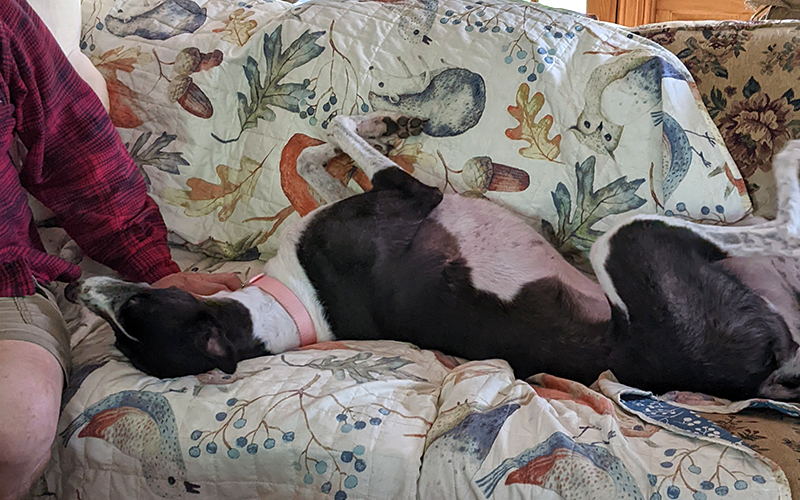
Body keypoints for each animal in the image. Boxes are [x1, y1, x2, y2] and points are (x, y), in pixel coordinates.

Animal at [65, 113, 800, 402]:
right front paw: (385, 124)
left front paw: (376, 125)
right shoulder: (414, 195)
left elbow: (316, 155)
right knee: (781, 228)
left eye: (133, 307)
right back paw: (788, 165)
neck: (291, 308)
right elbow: (341, 135)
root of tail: (756, 370)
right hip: (625, 242)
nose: (76, 289)